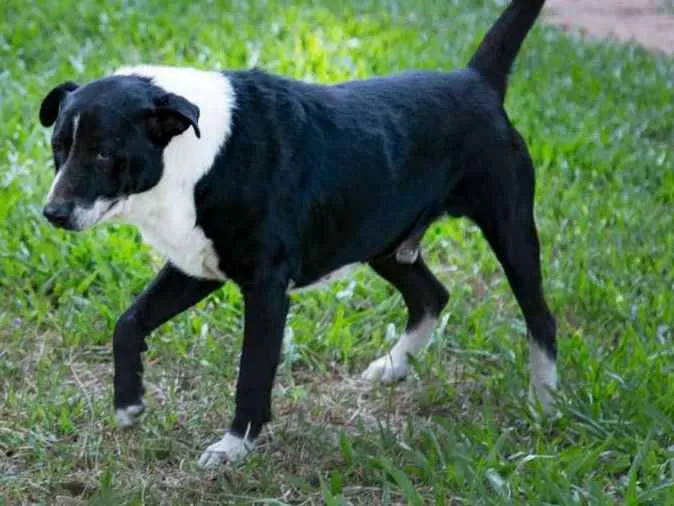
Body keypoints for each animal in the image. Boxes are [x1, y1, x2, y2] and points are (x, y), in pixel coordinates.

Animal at [38, 0, 552, 468]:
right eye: (58, 147)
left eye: (105, 153)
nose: (52, 213)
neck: (197, 151)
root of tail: (475, 79)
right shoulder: (195, 266)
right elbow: (128, 323)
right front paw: (128, 403)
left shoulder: (266, 285)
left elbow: (252, 372)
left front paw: (234, 446)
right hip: (384, 241)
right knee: (432, 294)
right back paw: (394, 365)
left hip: (510, 231)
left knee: (540, 319)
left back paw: (544, 401)